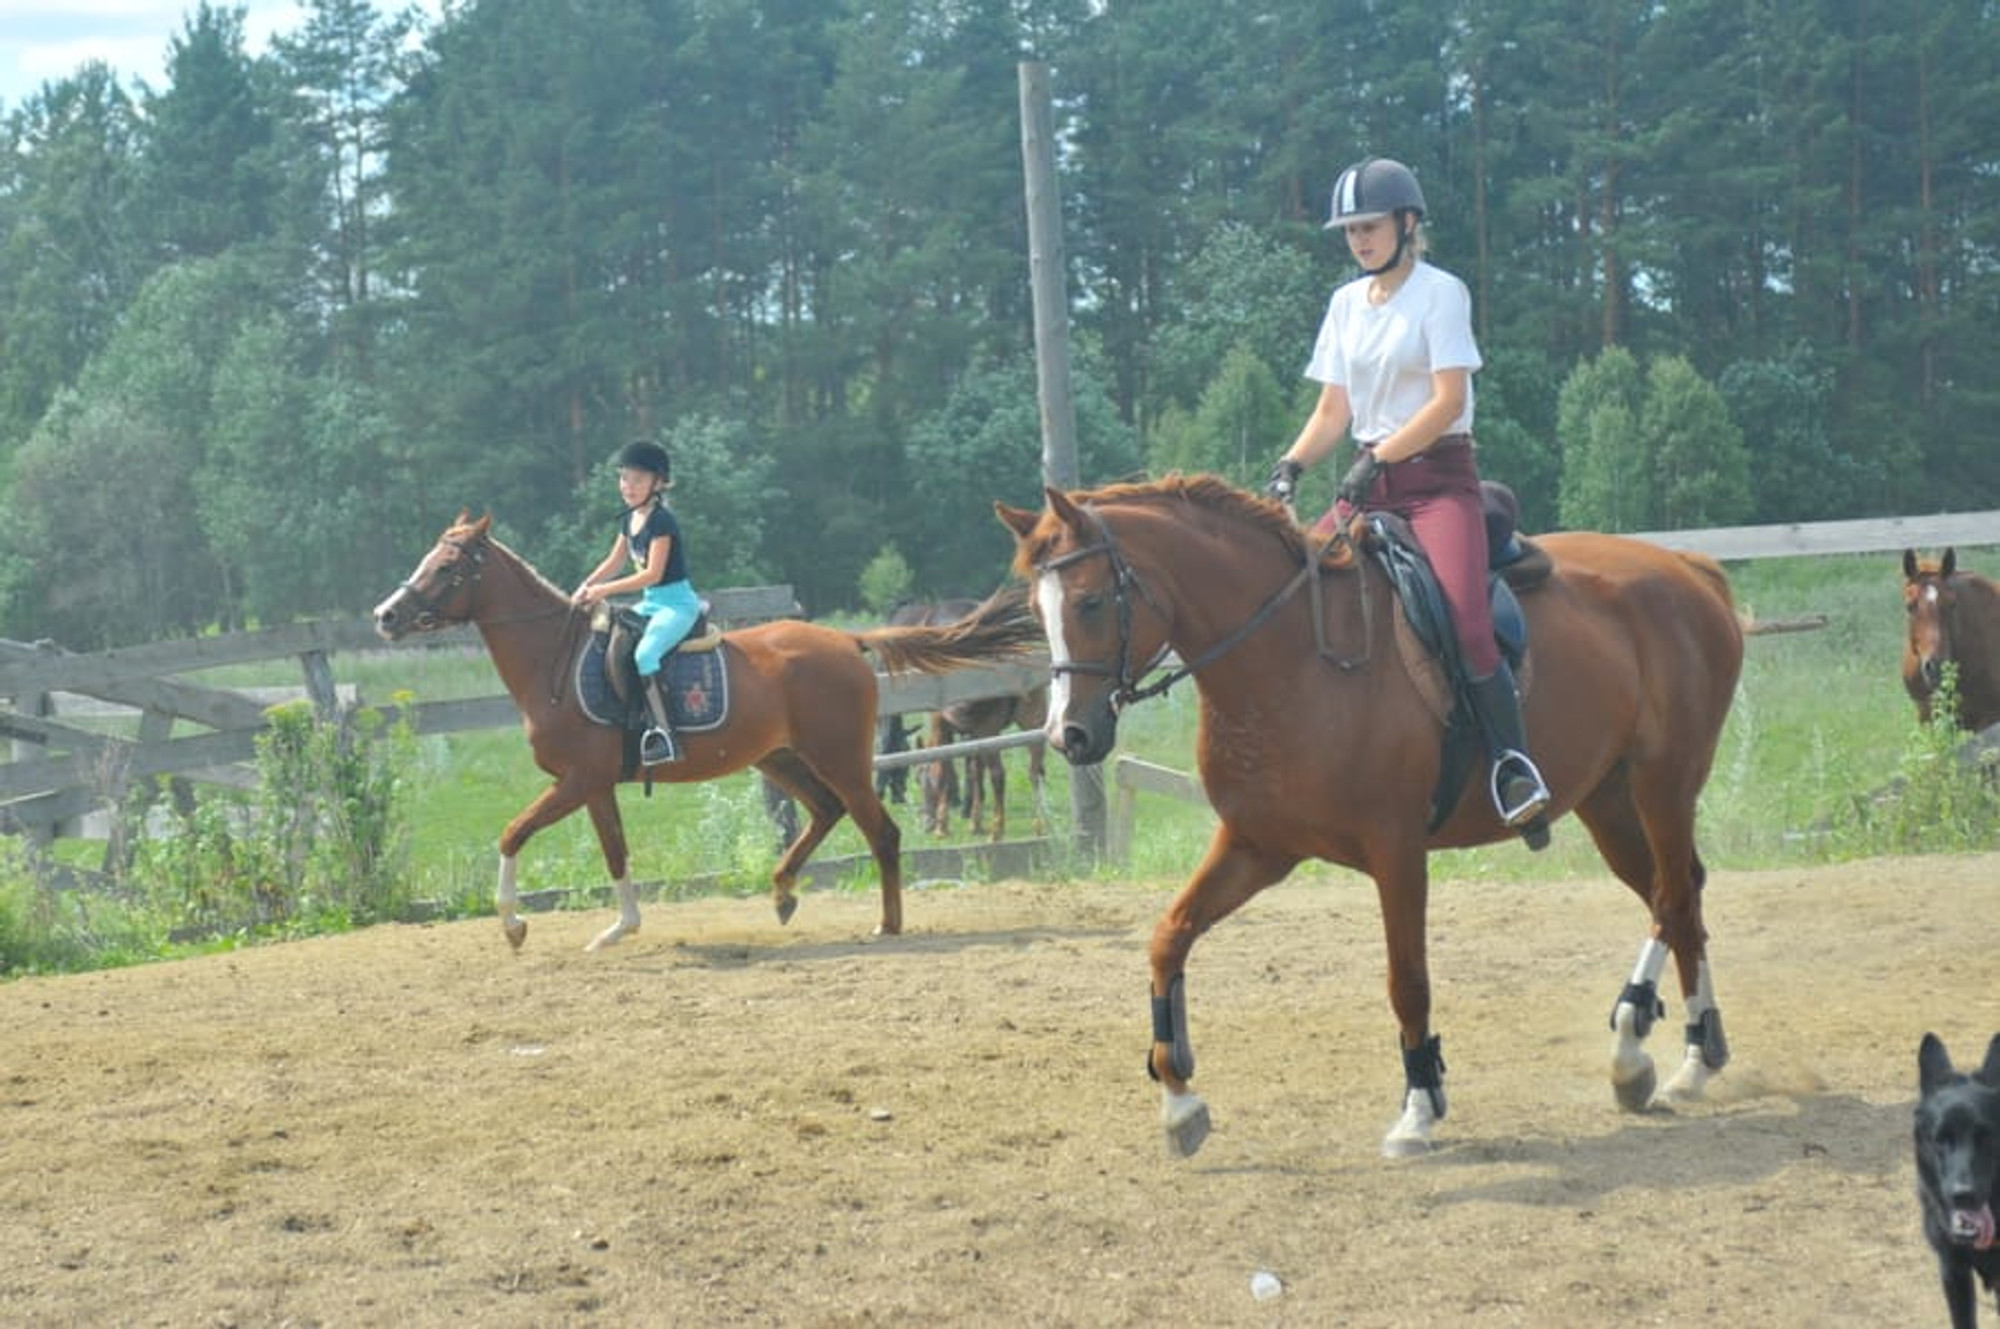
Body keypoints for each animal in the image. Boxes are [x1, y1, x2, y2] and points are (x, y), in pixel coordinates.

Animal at [370, 512, 1048, 948]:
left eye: (447, 566)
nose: (386, 616)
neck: (553, 660)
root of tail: (847, 642)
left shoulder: (578, 779)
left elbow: (513, 833)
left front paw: (513, 925)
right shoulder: (594, 784)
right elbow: (615, 850)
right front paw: (621, 928)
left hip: (841, 759)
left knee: (880, 831)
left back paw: (887, 924)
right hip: (779, 758)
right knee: (825, 813)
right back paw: (782, 894)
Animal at [992, 478, 1744, 1152]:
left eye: (1090, 601)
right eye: (1035, 607)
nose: (1069, 735)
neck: (1290, 659)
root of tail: (1689, 567)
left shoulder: (1396, 850)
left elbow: (1407, 981)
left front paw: (1419, 1108)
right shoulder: (1256, 846)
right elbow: (1168, 937)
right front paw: (1179, 1101)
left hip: (1663, 783)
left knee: (1675, 895)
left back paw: (1653, 1048)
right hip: (1607, 798)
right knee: (1676, 896)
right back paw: (1674, 1054)